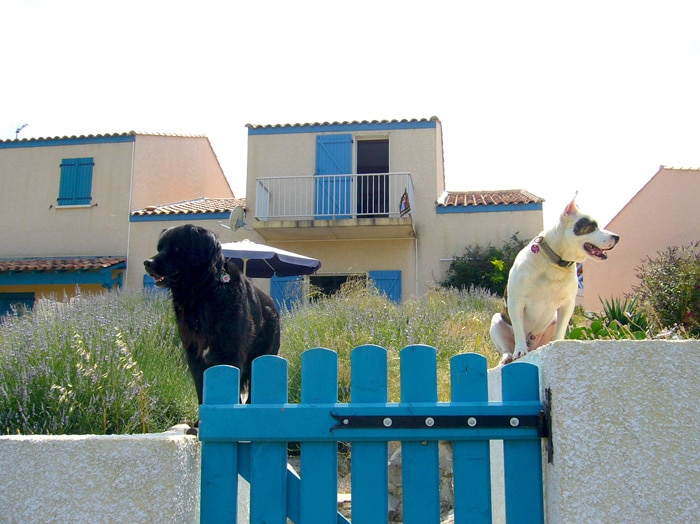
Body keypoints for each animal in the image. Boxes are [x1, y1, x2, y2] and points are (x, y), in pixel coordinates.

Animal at [144, 223, 280, 404]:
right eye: (160, 248)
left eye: (177, 248)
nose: (147, 263)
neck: (203, 294)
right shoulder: (194, 355)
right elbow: (202, 390)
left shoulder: (230, 353)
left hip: (262, 356)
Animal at [492, 196, 616, 364]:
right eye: (592, 227)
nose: (617, 237)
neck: (555, 263)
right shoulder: (516, 302)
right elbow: (518, 329)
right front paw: (520, 350)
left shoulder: (567, 305)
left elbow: (561, 329)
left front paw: (558, 344)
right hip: (496, 322)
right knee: (506, 348)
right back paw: (508, 357)